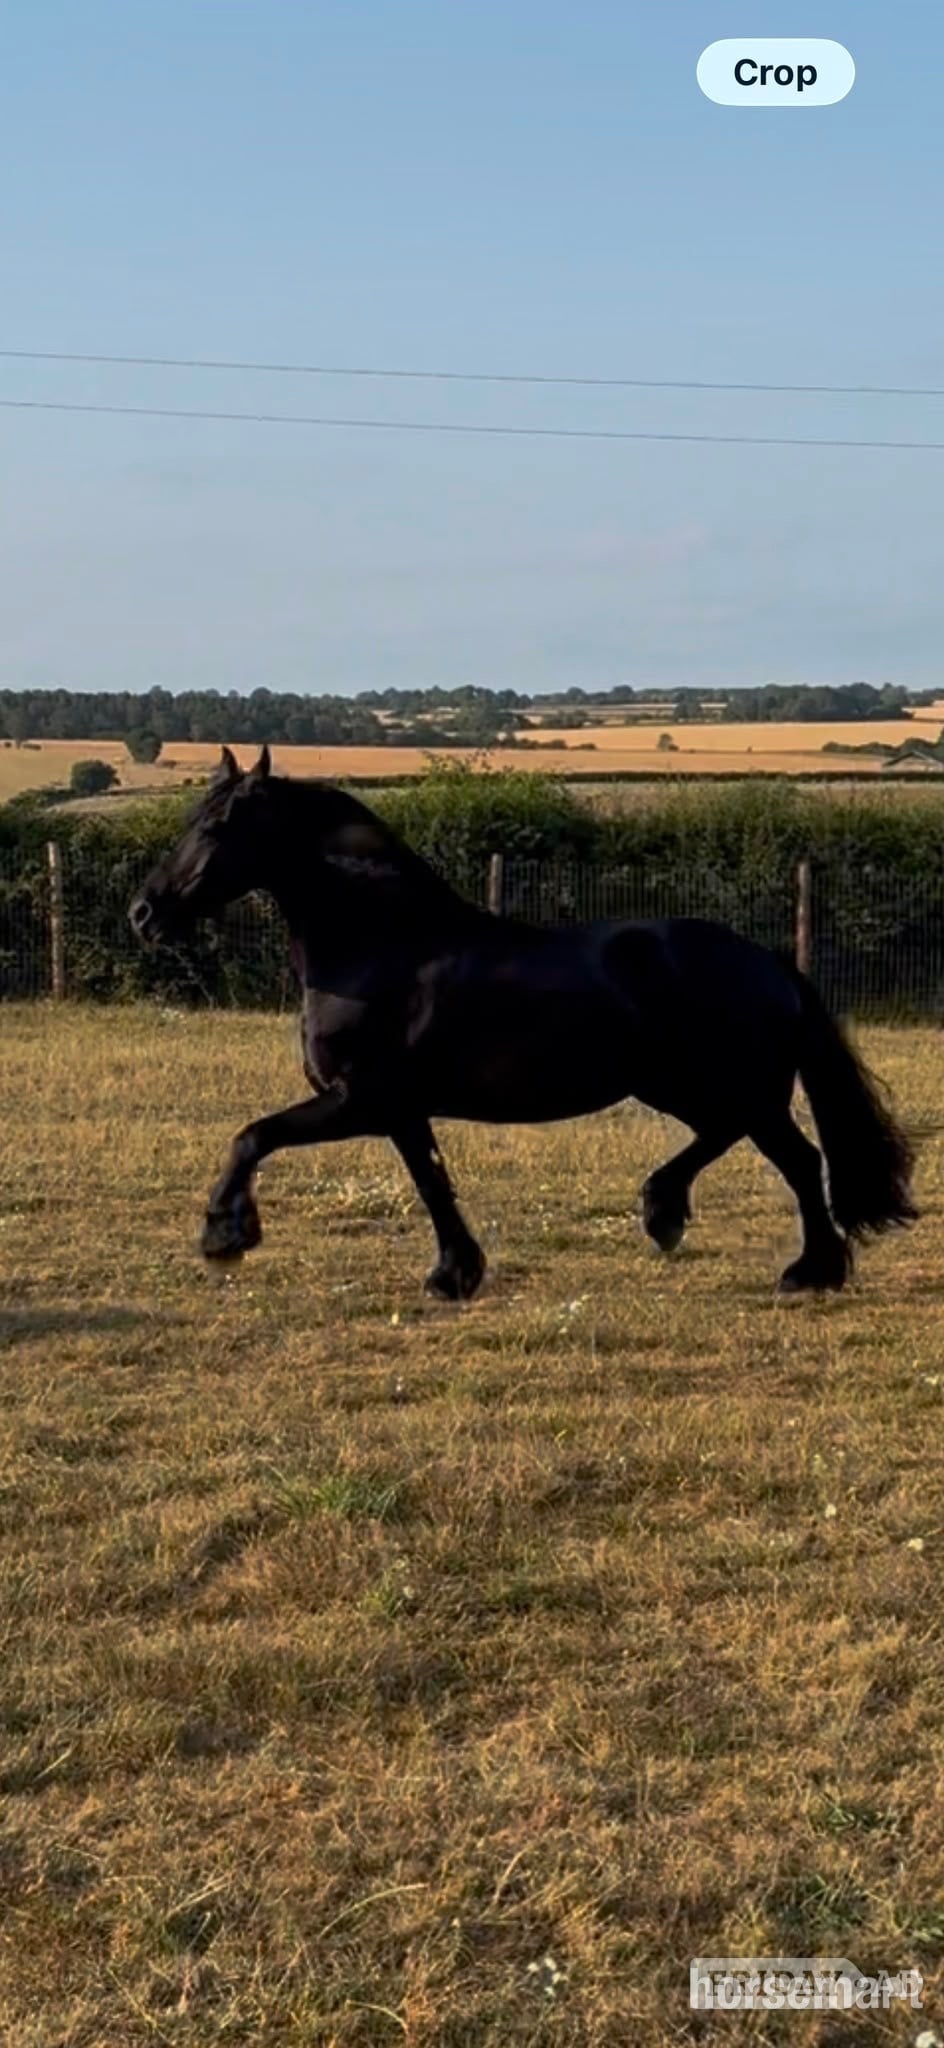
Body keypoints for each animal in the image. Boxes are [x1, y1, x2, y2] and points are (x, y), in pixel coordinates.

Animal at [129, 747, 917, 1301]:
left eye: (217, 825)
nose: (144, 913)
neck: (379, 945)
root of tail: (770, 962)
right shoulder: (400, 1109)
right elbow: (431, 1181)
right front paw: (454, 1275)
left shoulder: (362, 1098)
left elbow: (254, 1135)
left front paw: (226, 1236)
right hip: (681, 1087)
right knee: (728, 1140)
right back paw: (665, 1212)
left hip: (739, 1089)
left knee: (799, 1160)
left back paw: (808, 1271)